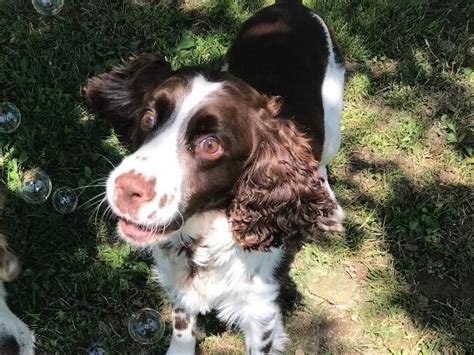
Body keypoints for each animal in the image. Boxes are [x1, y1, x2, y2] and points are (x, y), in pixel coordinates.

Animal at [84, 0, 344, 354]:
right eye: (148, 117)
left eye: (210, 145)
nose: (124, 189)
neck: (203, 235)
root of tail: (291, 6)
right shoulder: (178, 283)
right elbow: (183, 325)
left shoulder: (261, 310)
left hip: (332, 120)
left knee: (321, 164)